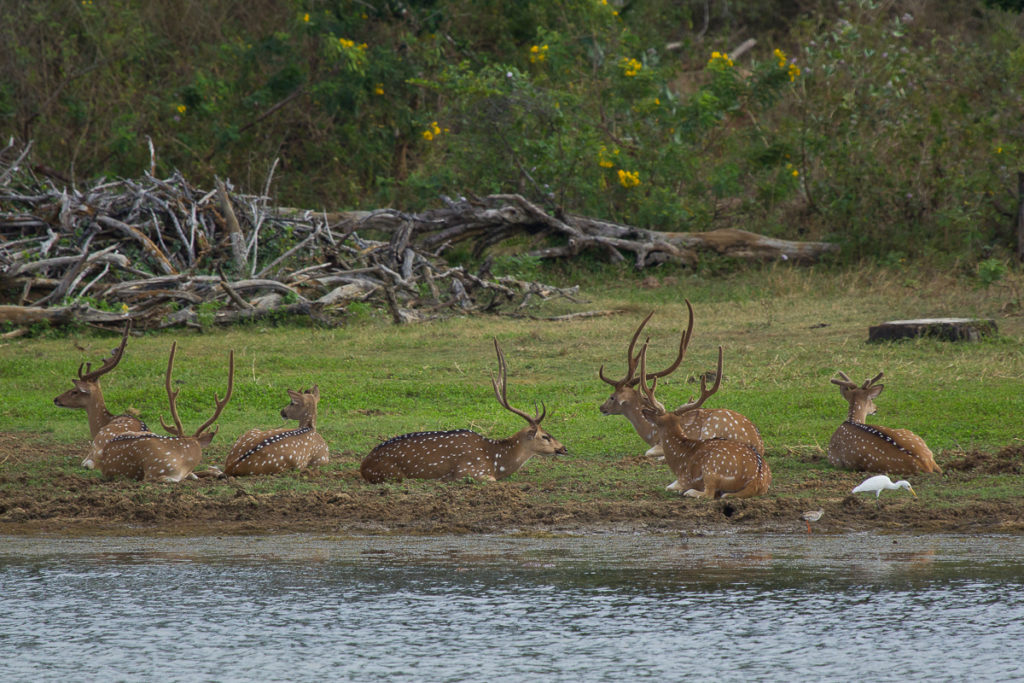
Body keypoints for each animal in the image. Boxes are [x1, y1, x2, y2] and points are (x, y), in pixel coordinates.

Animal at [51, 321, 149, 471]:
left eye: (75, 391)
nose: (56, 399)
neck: (102, 422)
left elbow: (86, 462)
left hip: (102, 439)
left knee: (92, 464)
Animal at [360, 339, 569, 483]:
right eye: (545, 436)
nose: (564, 448)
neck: (496, 461)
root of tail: (364, 465)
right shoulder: (471, 470)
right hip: (392, 474)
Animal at [598, 303, 761, 458]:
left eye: (612, 397)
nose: (601, 407)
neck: (651, 432)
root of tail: (757, 443)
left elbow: (648, 452)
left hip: (712, 428)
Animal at [634, 344, 770, 499]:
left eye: (658, 425)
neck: (679, 459)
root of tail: (757, 479)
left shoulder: (684, 478)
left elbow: (669, 486)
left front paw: (681, 489)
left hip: (711, 469)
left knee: (709, 493)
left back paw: (690, 492)